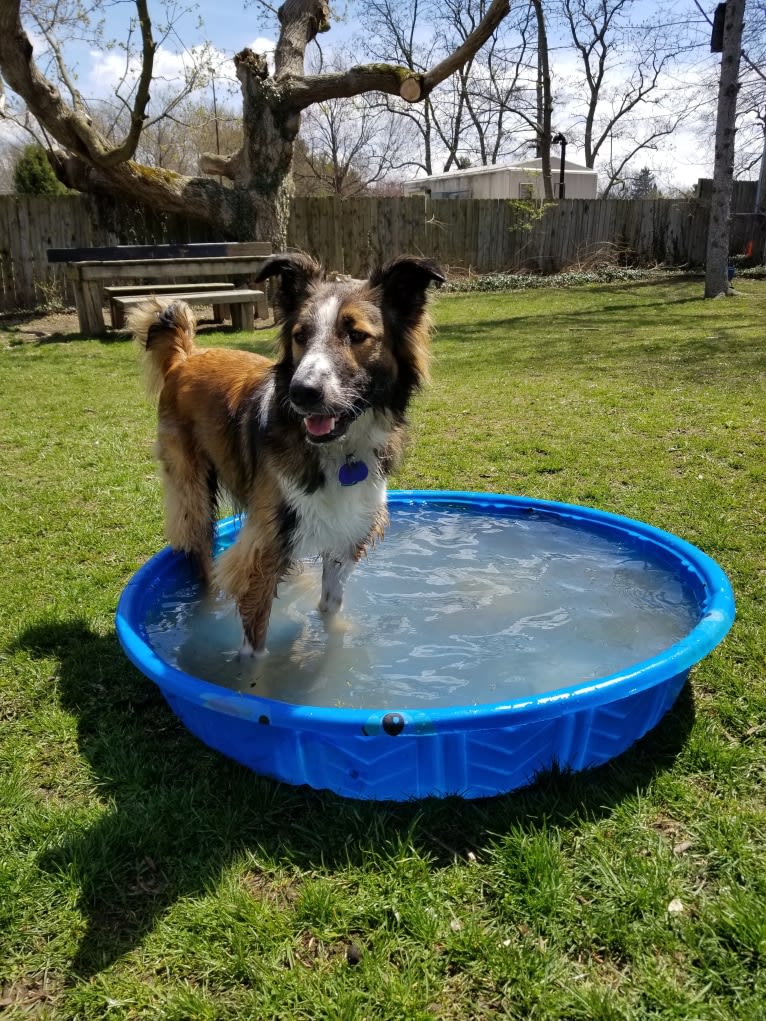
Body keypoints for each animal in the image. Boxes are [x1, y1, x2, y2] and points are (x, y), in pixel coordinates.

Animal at [130, 251, 443, 657]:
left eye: (356, 335)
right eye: (301, 336)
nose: (302, 392)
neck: (339, 453)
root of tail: (185, 357)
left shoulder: (344, 535)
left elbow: (329, 606)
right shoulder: (260, 551)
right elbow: (255, 648)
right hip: (192, 494)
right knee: (203, 561)